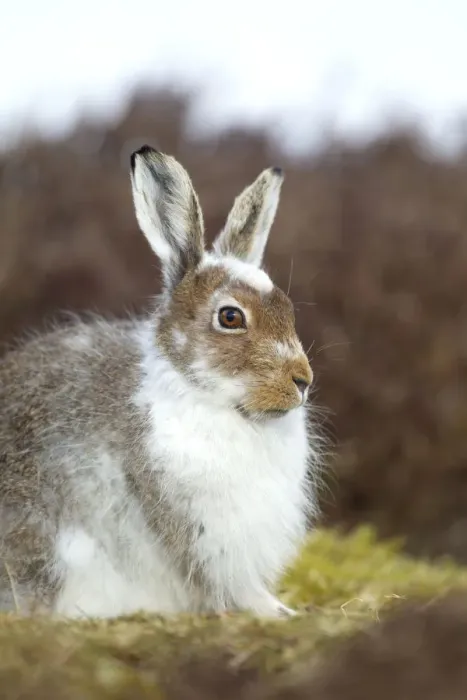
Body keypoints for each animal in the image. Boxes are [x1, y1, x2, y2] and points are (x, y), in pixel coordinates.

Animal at [0, 145, 320, 619]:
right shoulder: (188, 521)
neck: (208, 398)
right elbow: (225, 583)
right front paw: (272, 611)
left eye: (287, 308)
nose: (302, 380)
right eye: (230, 317)